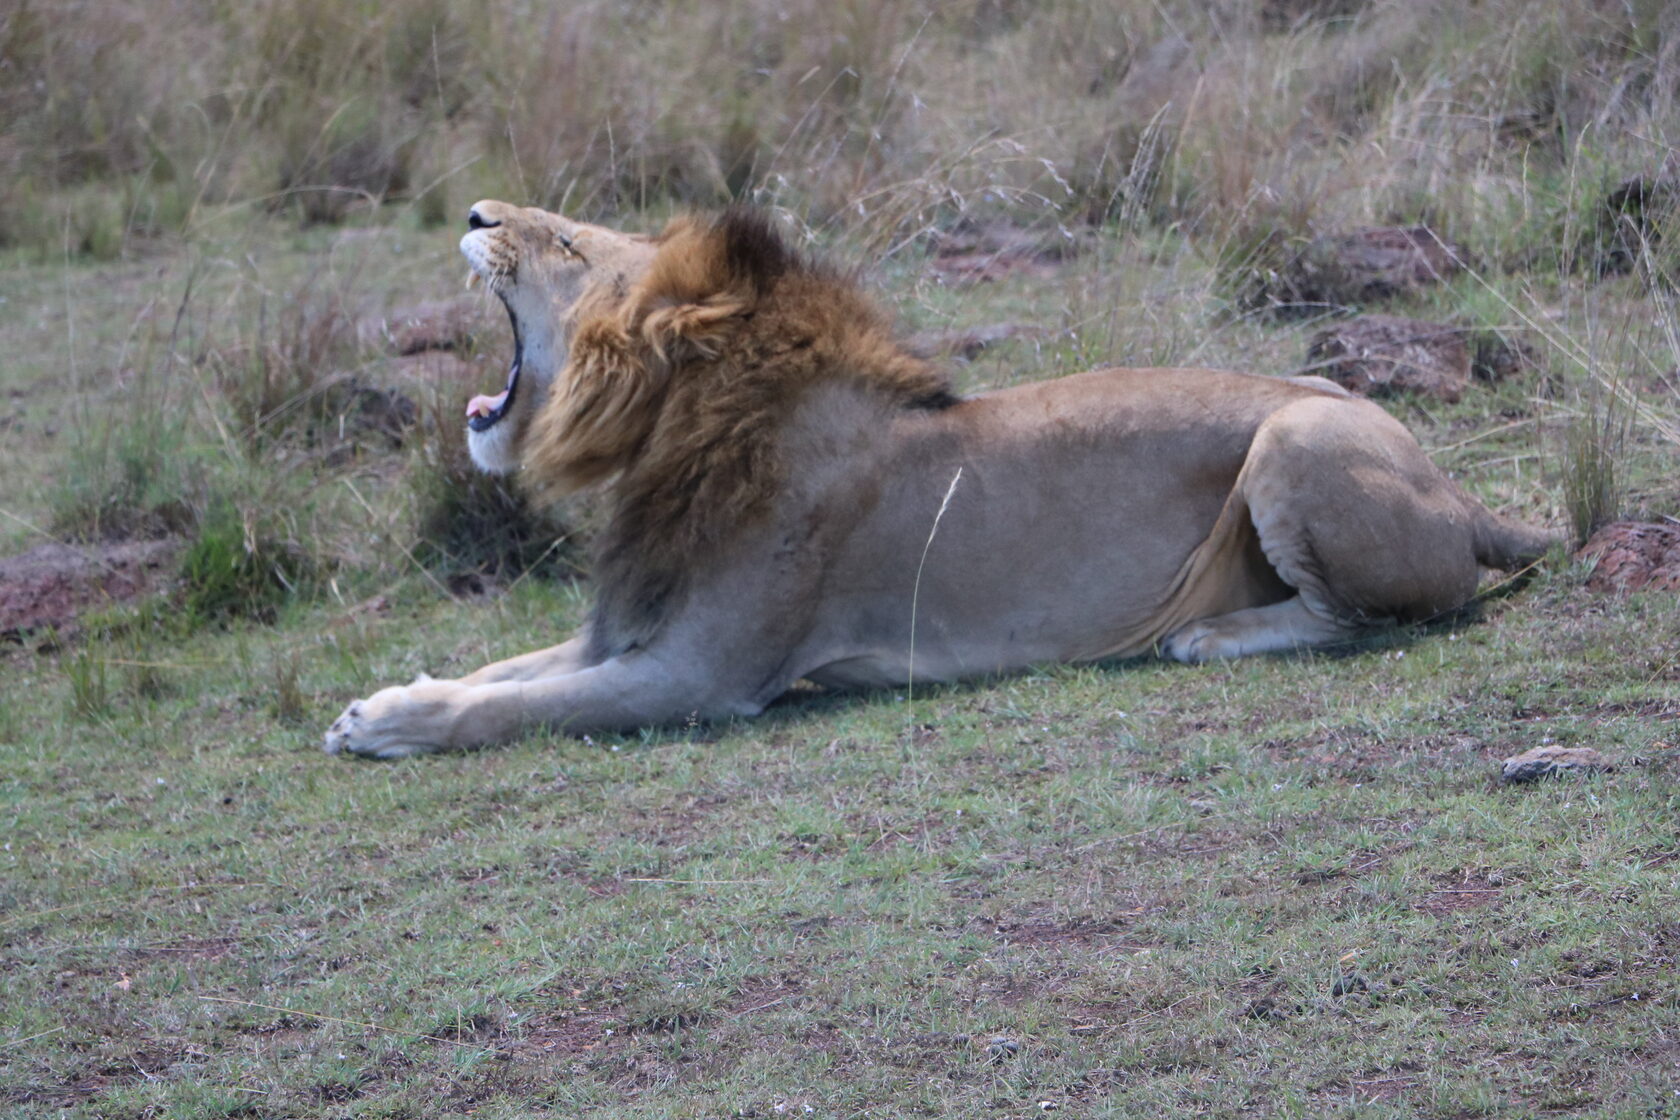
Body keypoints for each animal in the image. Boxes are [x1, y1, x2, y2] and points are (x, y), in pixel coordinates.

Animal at [323, 201, 1556, 758]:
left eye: (570, 246)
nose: (478, 213)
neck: (683, 436)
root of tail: (1456, 487)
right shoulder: (628, 624)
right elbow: (506, 667)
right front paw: (378, 697)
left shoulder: (699, 675)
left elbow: (522, 705)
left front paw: (390, 722)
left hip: (1297, 433)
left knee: (1368, 617)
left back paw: (1209, 635)